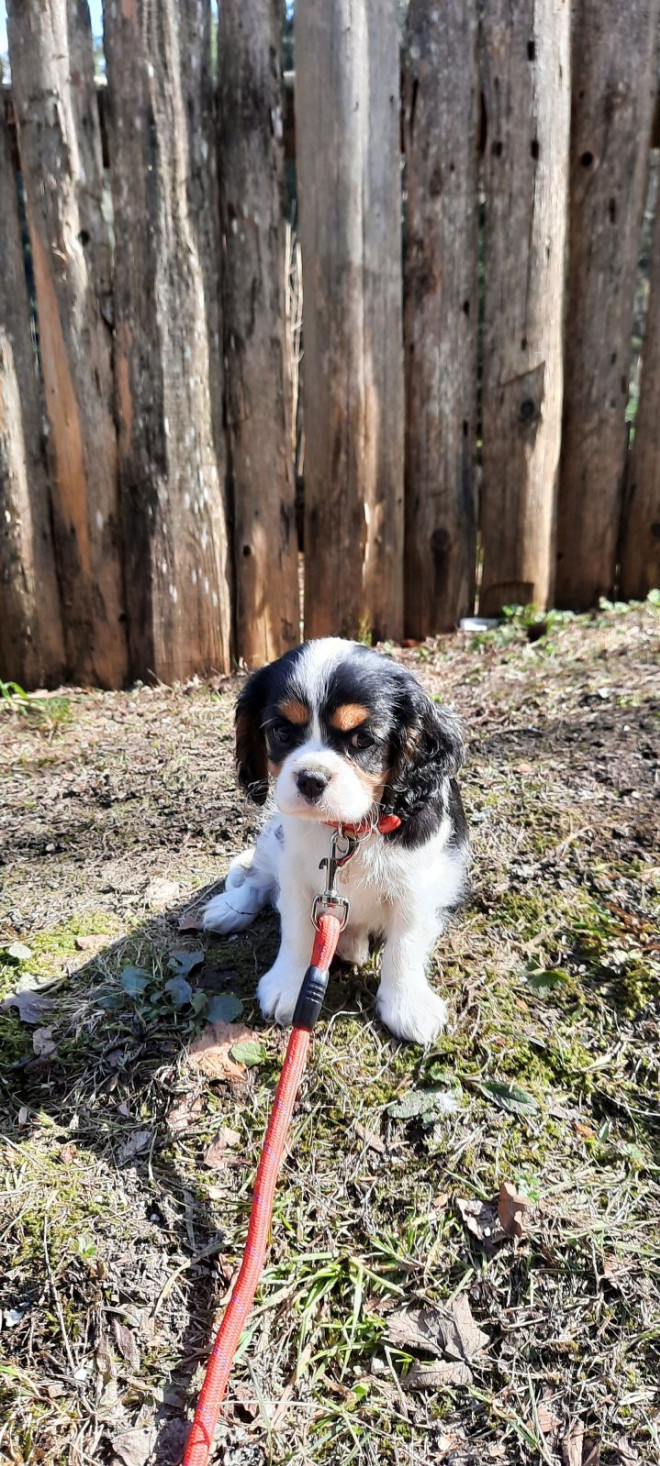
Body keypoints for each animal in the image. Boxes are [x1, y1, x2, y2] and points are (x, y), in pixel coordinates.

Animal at [206, 639, 469, 1043]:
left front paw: (407, 1004)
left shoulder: (418, 883)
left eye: (362, 739)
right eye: (282, 731)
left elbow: (406, 942)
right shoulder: (296, 872)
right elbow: (297, 928)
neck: (347, 830)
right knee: (259, 879)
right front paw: (288, 985)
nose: (310, 779)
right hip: (273, 837)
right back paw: (231, 907)